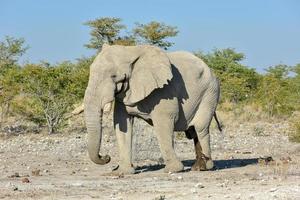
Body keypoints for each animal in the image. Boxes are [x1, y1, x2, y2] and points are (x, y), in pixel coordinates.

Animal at [84, 43, 220, 173]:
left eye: (114, 76)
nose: (106, 157)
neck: (130, 51)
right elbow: (122, 123)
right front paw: (122, 172)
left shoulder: (164, 90)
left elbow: (163, 121)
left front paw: (173, 170)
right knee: (193, 131)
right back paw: (198, 168)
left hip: (210, 92)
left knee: (200, 128)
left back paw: (205, 167)